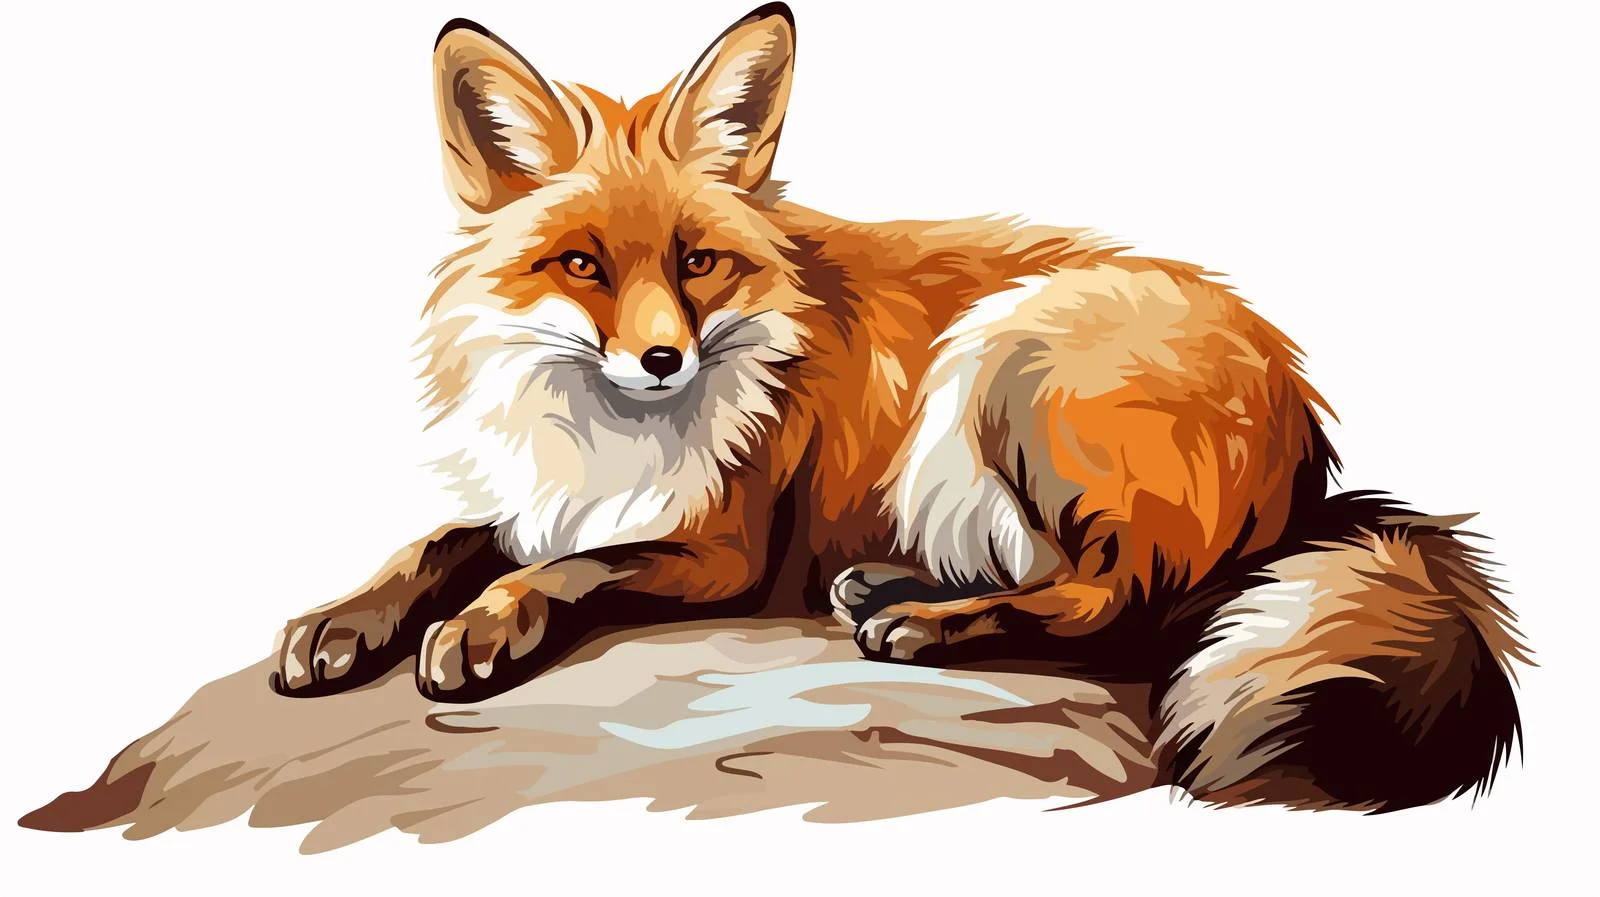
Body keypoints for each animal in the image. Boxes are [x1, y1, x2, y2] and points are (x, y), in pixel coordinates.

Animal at [270, 4, 1525, 811]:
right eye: (581, 265)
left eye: (696, 262)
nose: (665, 359)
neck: (608, 435)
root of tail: (1306, 435)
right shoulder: (549, 499)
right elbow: (442, 542)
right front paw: (341, 622)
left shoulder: (719, 551)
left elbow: (560, 571)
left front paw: (484, 625)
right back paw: (892, 588)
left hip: (1013, 354)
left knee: (1116, 607)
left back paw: (926, 623)